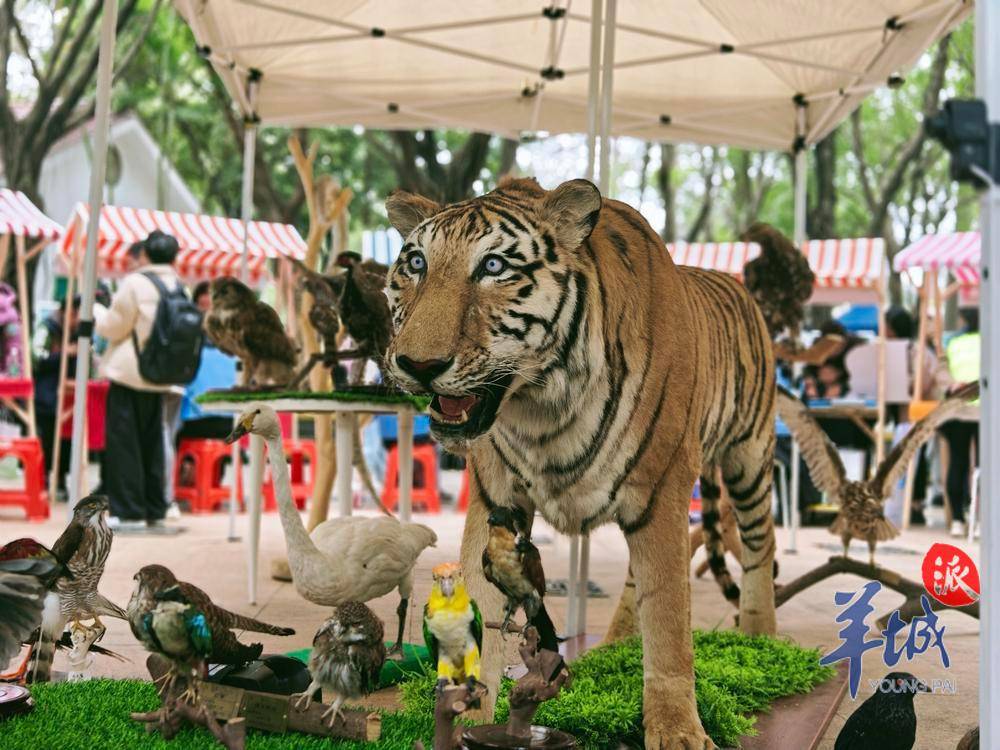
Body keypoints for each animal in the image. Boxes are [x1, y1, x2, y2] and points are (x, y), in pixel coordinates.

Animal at [386, 179, 776, 748]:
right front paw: (471, 715)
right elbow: (480, 601)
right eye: (416, 262)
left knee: (759, 550)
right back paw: (616, 645)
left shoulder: (663, 492)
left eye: (493, 267)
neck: (541, 405)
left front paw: (677, 730)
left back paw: (763, 639)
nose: (417, 365)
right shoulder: (494, 499)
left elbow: (669, 620)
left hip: (749, 461)